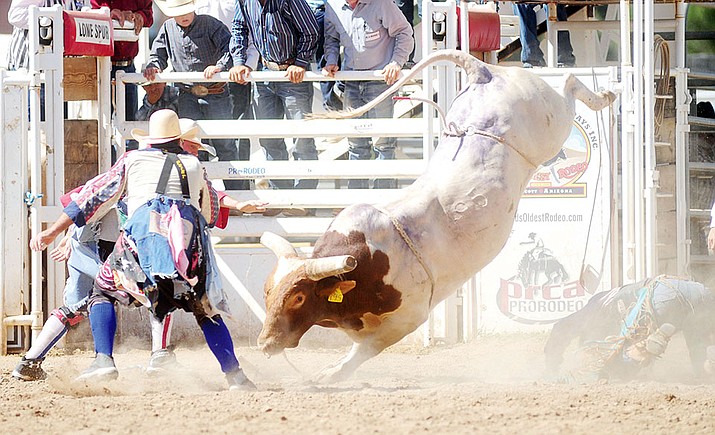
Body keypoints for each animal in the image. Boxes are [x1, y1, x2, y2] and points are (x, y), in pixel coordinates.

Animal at [258, 49, 616, 384]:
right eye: (268, 291)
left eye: (298, 297)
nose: (264, 343)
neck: (367, 263)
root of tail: (482, 71)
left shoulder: (407, 318)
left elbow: (363, 351)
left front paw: (328, 375)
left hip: (553, 120)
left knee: (568, 83)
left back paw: (604, 95)